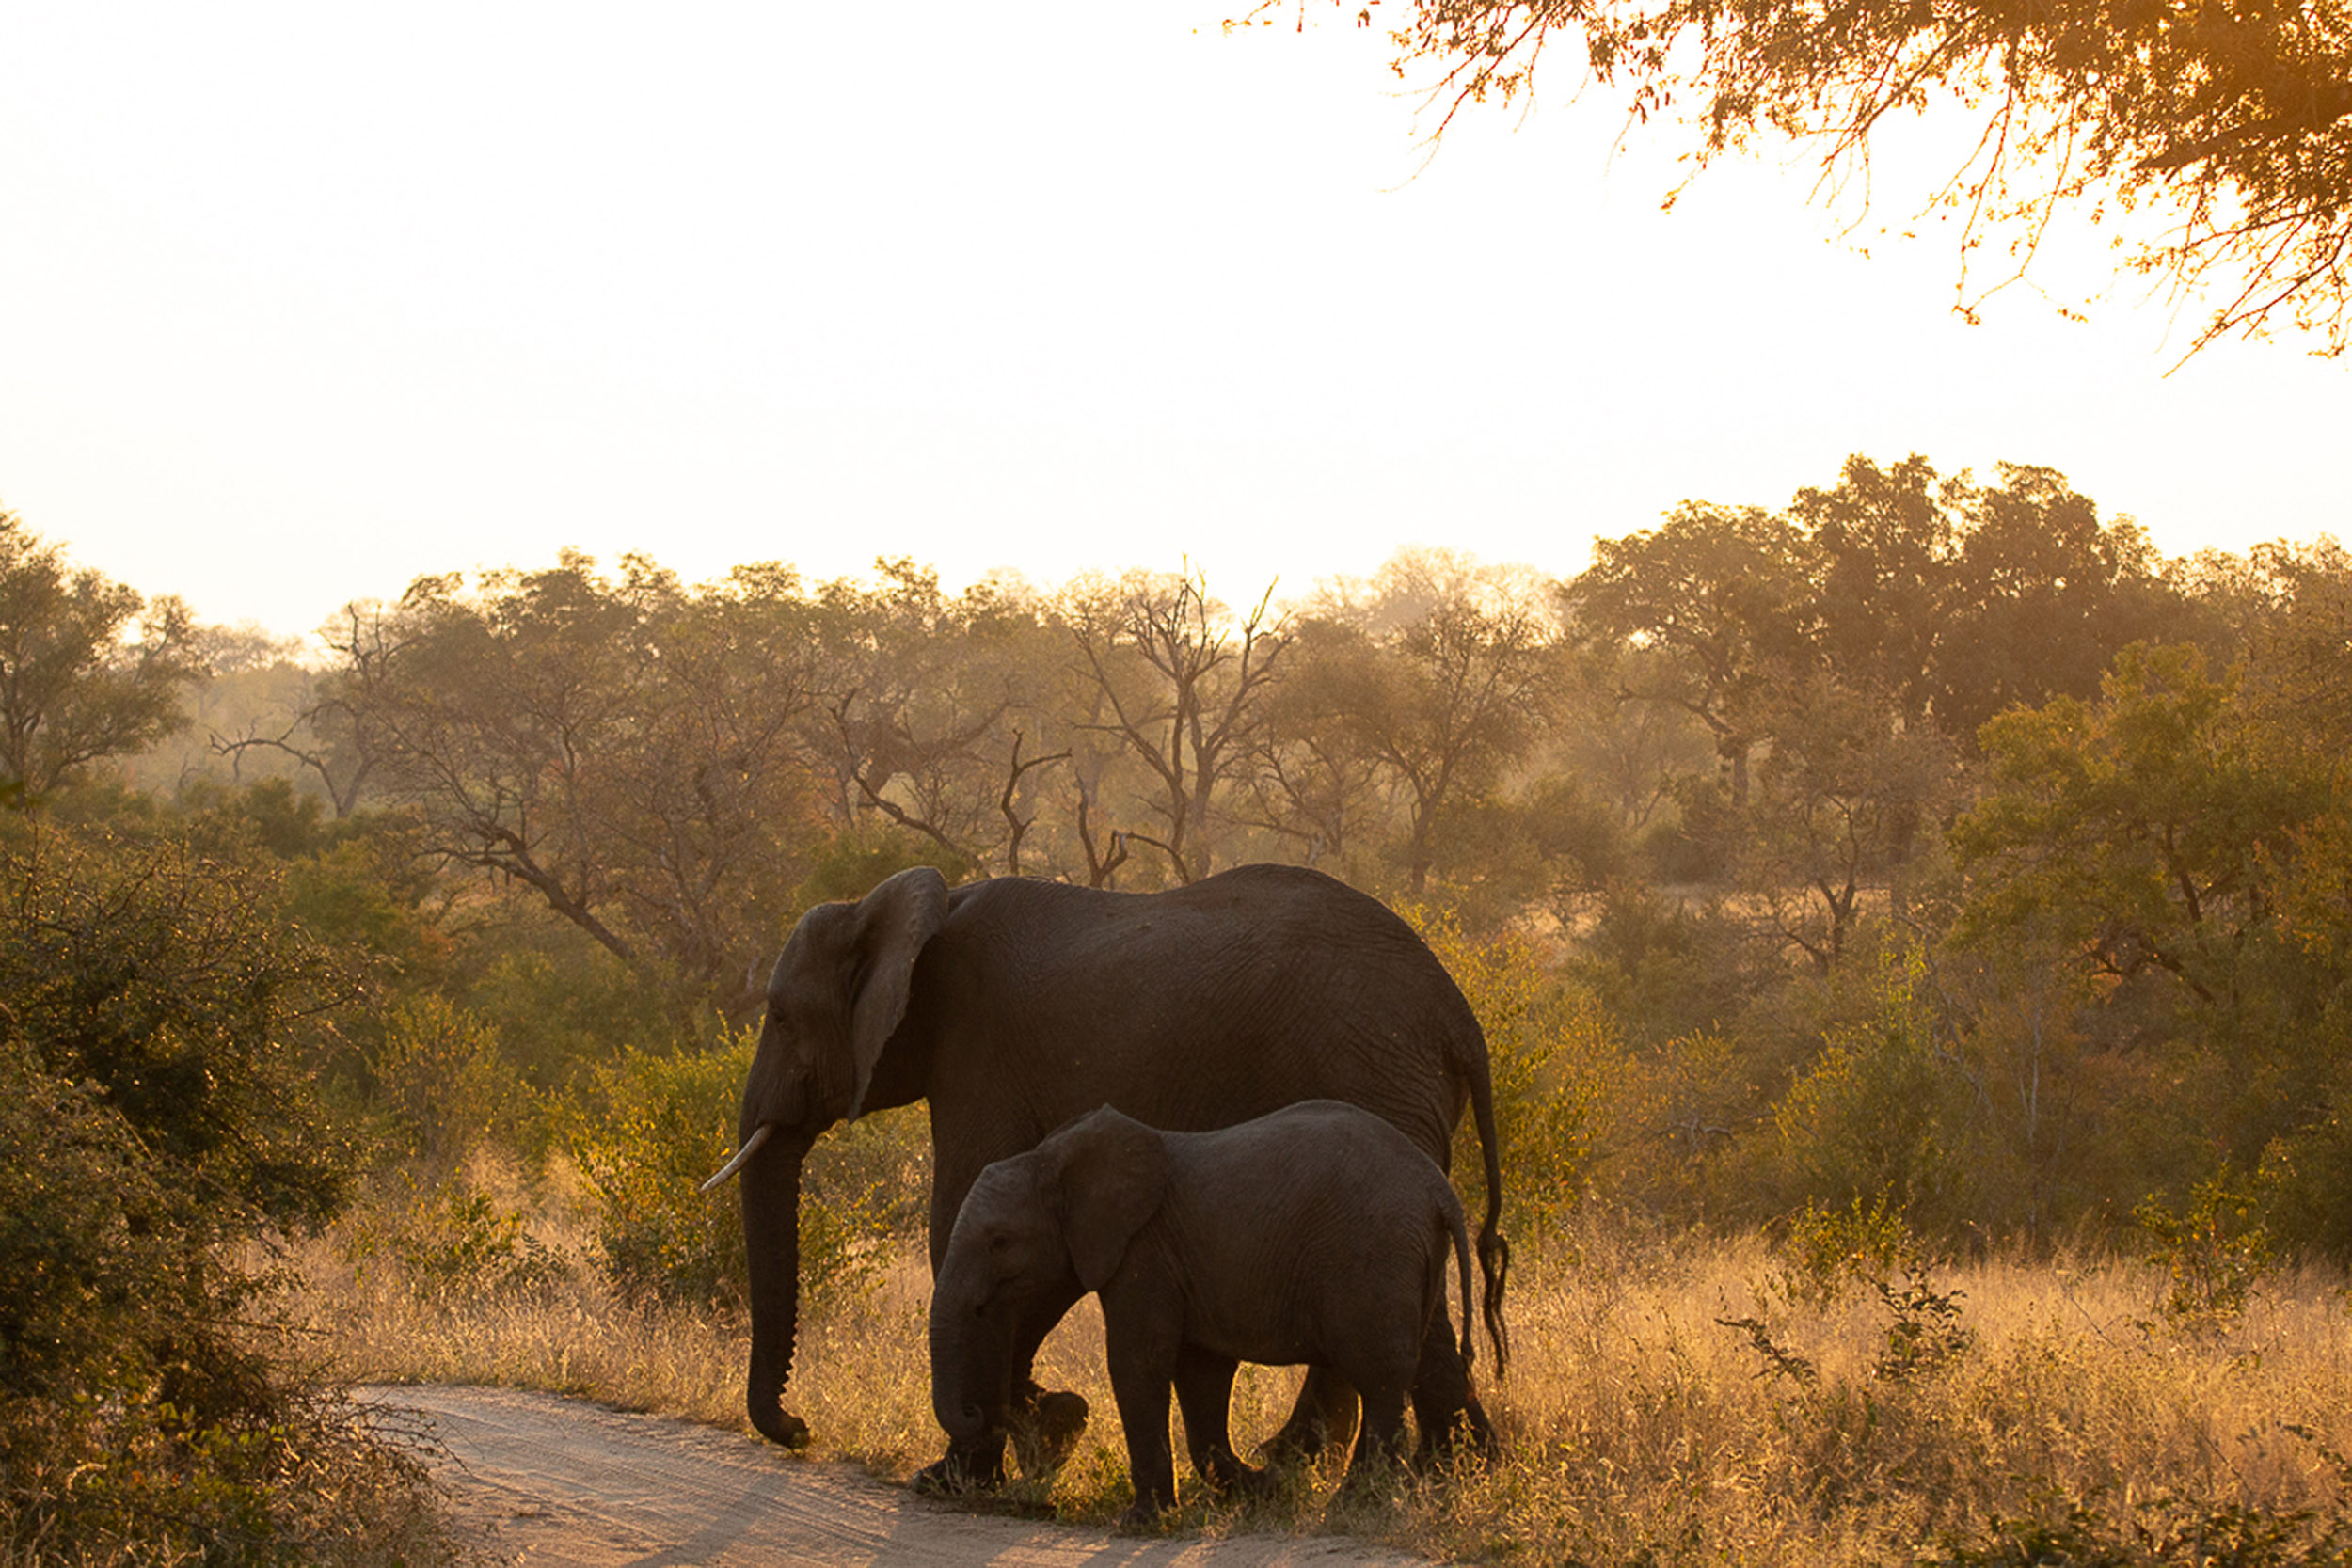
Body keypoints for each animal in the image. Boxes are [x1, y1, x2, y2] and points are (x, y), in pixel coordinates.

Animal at [700, 861, 1509, 1478]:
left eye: (779, 1015)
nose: (799, 1427)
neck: (903, 904)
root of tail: (1460, 1016)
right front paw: (1052, 1429)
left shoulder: (978, 1050)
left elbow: (956, 1213)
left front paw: (976, 1465)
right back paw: (1429, 1466)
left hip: (1369, 1073)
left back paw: (1404, 1467)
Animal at [930, 1101, 1491, 1524]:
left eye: (1000, 1242)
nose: (976, 1412)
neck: (1053, 1158)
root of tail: (1440, 1190)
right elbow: (1201, 1374)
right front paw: (1266, 1488)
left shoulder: (1145, 1252)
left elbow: (1137, 1362)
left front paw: (1141, 1521)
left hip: (1374, 1258)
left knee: (1379, 1380)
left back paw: (1355, 1503)